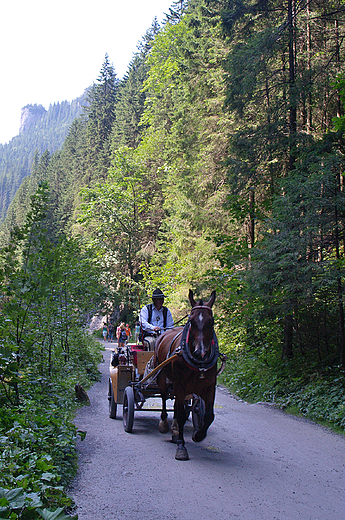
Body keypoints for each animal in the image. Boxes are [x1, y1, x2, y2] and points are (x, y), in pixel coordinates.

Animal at [153, 288, 218, 460]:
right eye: (191, 321)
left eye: (211, 322)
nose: (201, 353)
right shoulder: (180, 385)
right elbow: (182, 415)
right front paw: (181, 447)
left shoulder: (210, 386)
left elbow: (209, 415)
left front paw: (198, 435)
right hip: (162, 376)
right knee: (164, 397)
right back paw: (164, 423)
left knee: (177, 405)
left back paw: (175, 430)